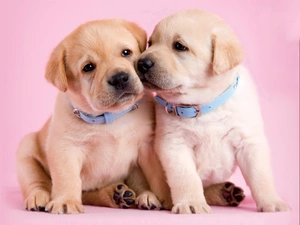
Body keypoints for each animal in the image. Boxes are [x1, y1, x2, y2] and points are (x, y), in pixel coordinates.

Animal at [15, 18, 162, 214]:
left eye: (126, 52)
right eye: (88, 67)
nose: (120, 78)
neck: (111, 116)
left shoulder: (147, 145)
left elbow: (156, 175)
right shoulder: (64, 148)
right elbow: (67, 177)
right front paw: (65, 201)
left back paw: (131, 195)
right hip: (26, 152)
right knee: (38, 182)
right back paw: (39, 197)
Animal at [137, 9, 290, 214]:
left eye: (179, 46)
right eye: (150, 43)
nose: (141, 63)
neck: (205, 105)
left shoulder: (249, 142)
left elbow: (261, 176)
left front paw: (272, 201)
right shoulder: (174, 144)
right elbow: (186, 178)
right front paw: (191, 202)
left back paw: (225, 193)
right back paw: (147, 197)